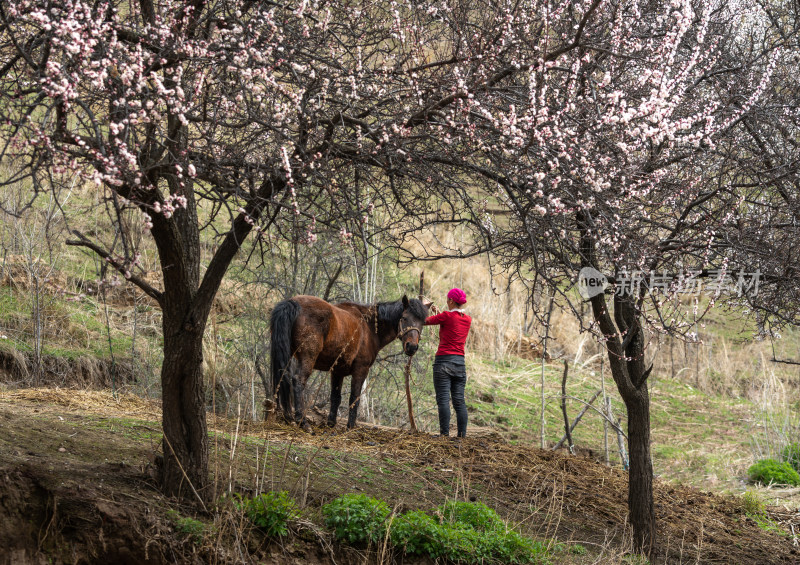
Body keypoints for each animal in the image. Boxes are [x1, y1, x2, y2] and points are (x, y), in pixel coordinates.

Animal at [270, 296, 432, 428]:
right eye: (404, 318)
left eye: (423, 322)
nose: (412, 347)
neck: (368, 327)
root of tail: (293, 302)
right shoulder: (361, 369)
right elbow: (354, 398)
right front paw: (350, 426)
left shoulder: (337, 371)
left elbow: (335, 397)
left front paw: (331, 423)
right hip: (307, 358)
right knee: (298, 380)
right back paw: (302, 422)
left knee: (282, 378)